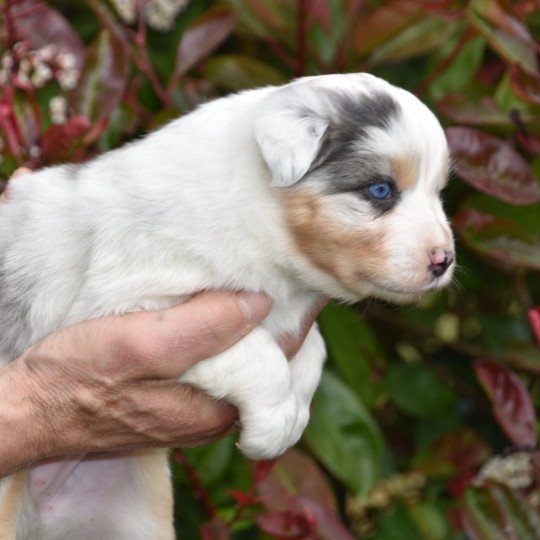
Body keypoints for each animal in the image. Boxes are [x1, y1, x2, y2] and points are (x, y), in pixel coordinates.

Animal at [0, 73, 454, 540]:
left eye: (439, 192)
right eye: (380, 190)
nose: (444, 261)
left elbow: (313, 349)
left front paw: (296, 412)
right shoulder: (135, 305)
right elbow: (258, 354)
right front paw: (273, 426)